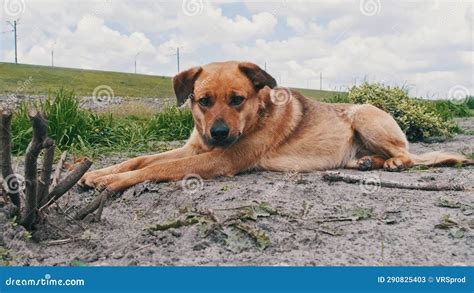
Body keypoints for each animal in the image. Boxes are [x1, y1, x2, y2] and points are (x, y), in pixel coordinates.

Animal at [79, 60, 468, 190]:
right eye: (204, 101)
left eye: (237, 99)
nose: (219, 133)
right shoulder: (195, 147)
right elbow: (142, 159)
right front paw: (98, 172)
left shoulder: (220, 158)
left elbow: (157, 169)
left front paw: (111, 182)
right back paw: (366, 161)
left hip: (365, 115)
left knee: (410, 157)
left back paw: (389, 162)